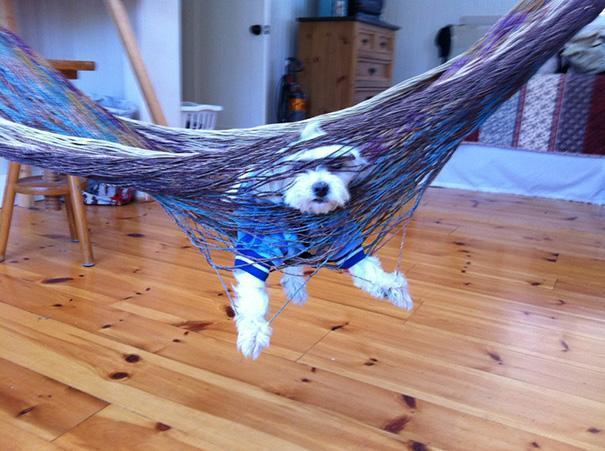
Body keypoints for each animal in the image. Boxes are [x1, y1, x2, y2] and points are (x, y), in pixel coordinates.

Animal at [231, 122, 410, 358]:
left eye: (335, 165)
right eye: (298, 168)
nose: (321, 187)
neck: (304, 216)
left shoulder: (343, 236)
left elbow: (365, 266)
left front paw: (389, 284)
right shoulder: (258, 246)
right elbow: (253, 291)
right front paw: (253, 330)